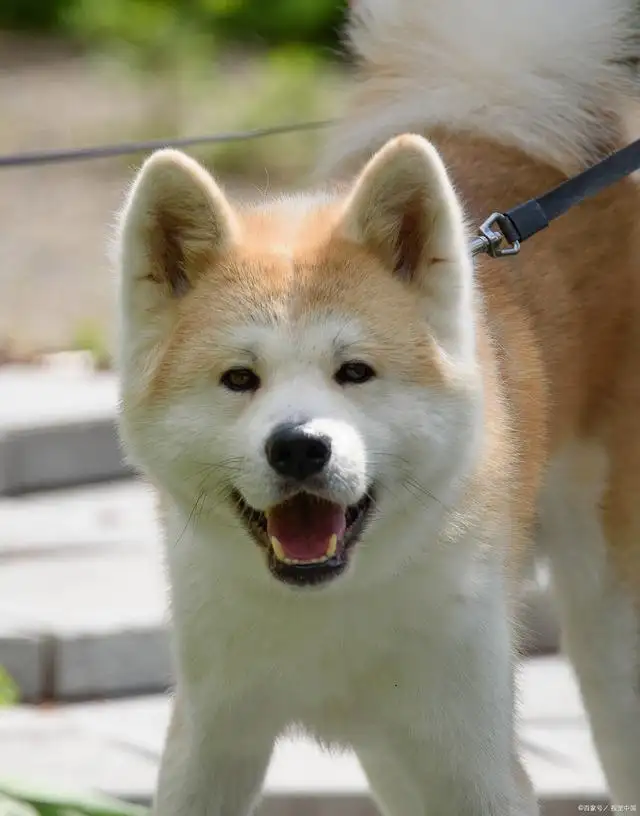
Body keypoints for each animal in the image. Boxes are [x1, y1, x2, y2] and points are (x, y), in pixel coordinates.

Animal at [117, 0, 640, 808]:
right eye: (239, 379)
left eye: (354, 372)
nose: (299, 446)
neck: (331, 602)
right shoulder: (210, 742)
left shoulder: (473, 764)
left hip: (609, 630)